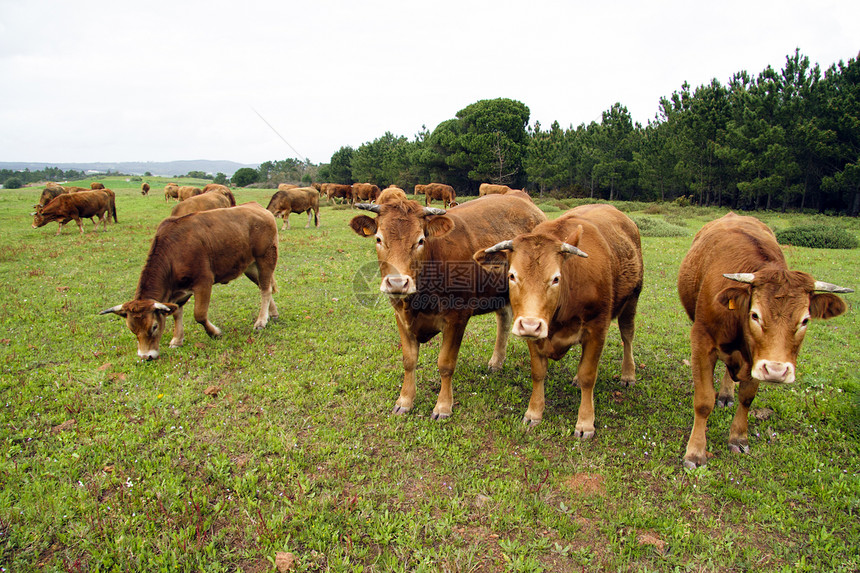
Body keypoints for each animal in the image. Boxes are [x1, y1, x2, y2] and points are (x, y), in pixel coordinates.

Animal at [100, 203, 278, 360]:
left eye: (154, 326)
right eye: (132, 329)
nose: (146, 356)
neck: (173, 253)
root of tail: (257, 207)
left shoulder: (203, 282)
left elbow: (199, 314)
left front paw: (215, 333)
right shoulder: (177, 292)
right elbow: (176, 313)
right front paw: (177, 339)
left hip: (265, 259)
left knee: (265, 289)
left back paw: (261, 321)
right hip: (250, 266)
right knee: (265, 286)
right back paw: (272, 313)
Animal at [348, 194, 544, 418]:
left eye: (420, 240)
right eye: (379, 239)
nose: (397, 283)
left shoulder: (457, 318)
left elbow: (446, 364)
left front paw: (443, 406)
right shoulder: (400, 316)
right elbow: (409, 361)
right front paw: (404, 400)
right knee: (503, 318)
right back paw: (496, 362)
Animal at [474, 203, 640, 436]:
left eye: (555, 278)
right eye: (512, 275)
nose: (531, 325)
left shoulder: (597, 328)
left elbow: (589, 375)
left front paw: (585, 422)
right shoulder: (534, 335)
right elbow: (538, 373)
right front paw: (534, 413)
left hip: (632, 300)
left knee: (627, 336)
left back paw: (628, 375)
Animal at [680, 212, 852, 466]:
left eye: (805, 320)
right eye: (755, 314)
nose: (776, 371)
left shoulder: (756, 358)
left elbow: (747, 397)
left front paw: (739, 438)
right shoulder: (702, 341)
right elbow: (703, 401)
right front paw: (695, 452)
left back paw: (726, 394)